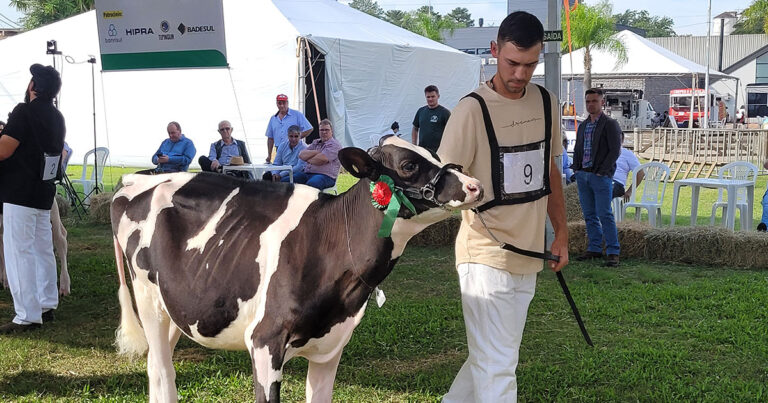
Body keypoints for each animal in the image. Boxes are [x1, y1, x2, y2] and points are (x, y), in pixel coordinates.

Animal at [111, 137, 484, 403]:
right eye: (408, 165)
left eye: (434, 153)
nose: (474, 185)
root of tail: (133, 180)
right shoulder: (265, 342)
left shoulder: (332, 345)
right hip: (147, 299)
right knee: (164, 373)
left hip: (175, 307)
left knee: (155, 369)